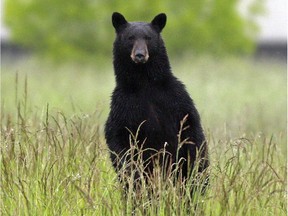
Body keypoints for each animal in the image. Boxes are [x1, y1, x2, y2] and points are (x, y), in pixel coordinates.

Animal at [104, 12, 208, 191]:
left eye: (148, 38)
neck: (145, 83)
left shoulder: (176, 99)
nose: (140, 55)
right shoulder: (123, 105)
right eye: (130, 38)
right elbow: (117, 138)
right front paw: (131, 172)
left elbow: (192, 130)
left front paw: (196, 168)